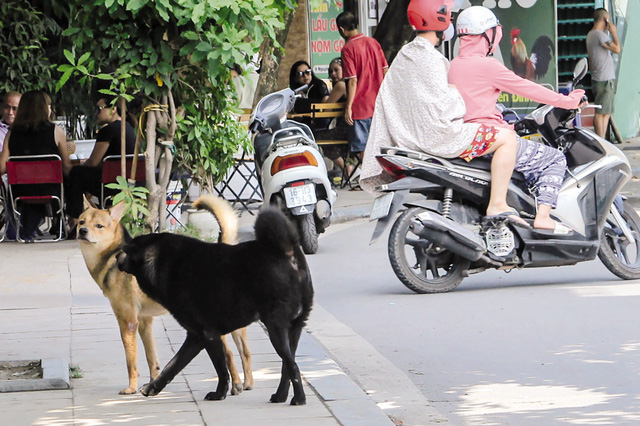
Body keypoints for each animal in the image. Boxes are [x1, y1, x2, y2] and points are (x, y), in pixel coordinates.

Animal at [77, 198, 252, 394]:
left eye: (99, 226)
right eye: (81, 222)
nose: (82, 231)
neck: (111, 257)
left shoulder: (128, 323)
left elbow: (131, 361)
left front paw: (131, 388)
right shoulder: (145, 322)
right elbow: (151, 358)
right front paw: (151, 384)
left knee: (229, 354)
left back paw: (235, 385)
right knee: (245, 352)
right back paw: (247, 383)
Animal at [117, 198, 316, 404]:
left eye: (125, 251)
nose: (116, 256)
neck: (162, 260)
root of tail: (287, 252)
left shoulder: (207, 335)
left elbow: (220, 369)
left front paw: (219, 393)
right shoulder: (197, 336)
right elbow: (174, 365)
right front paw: (153, 387)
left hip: (276, 328)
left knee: (292, 366)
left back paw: (299, 398)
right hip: (294, 328)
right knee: (287, 366)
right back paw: (280, 396)